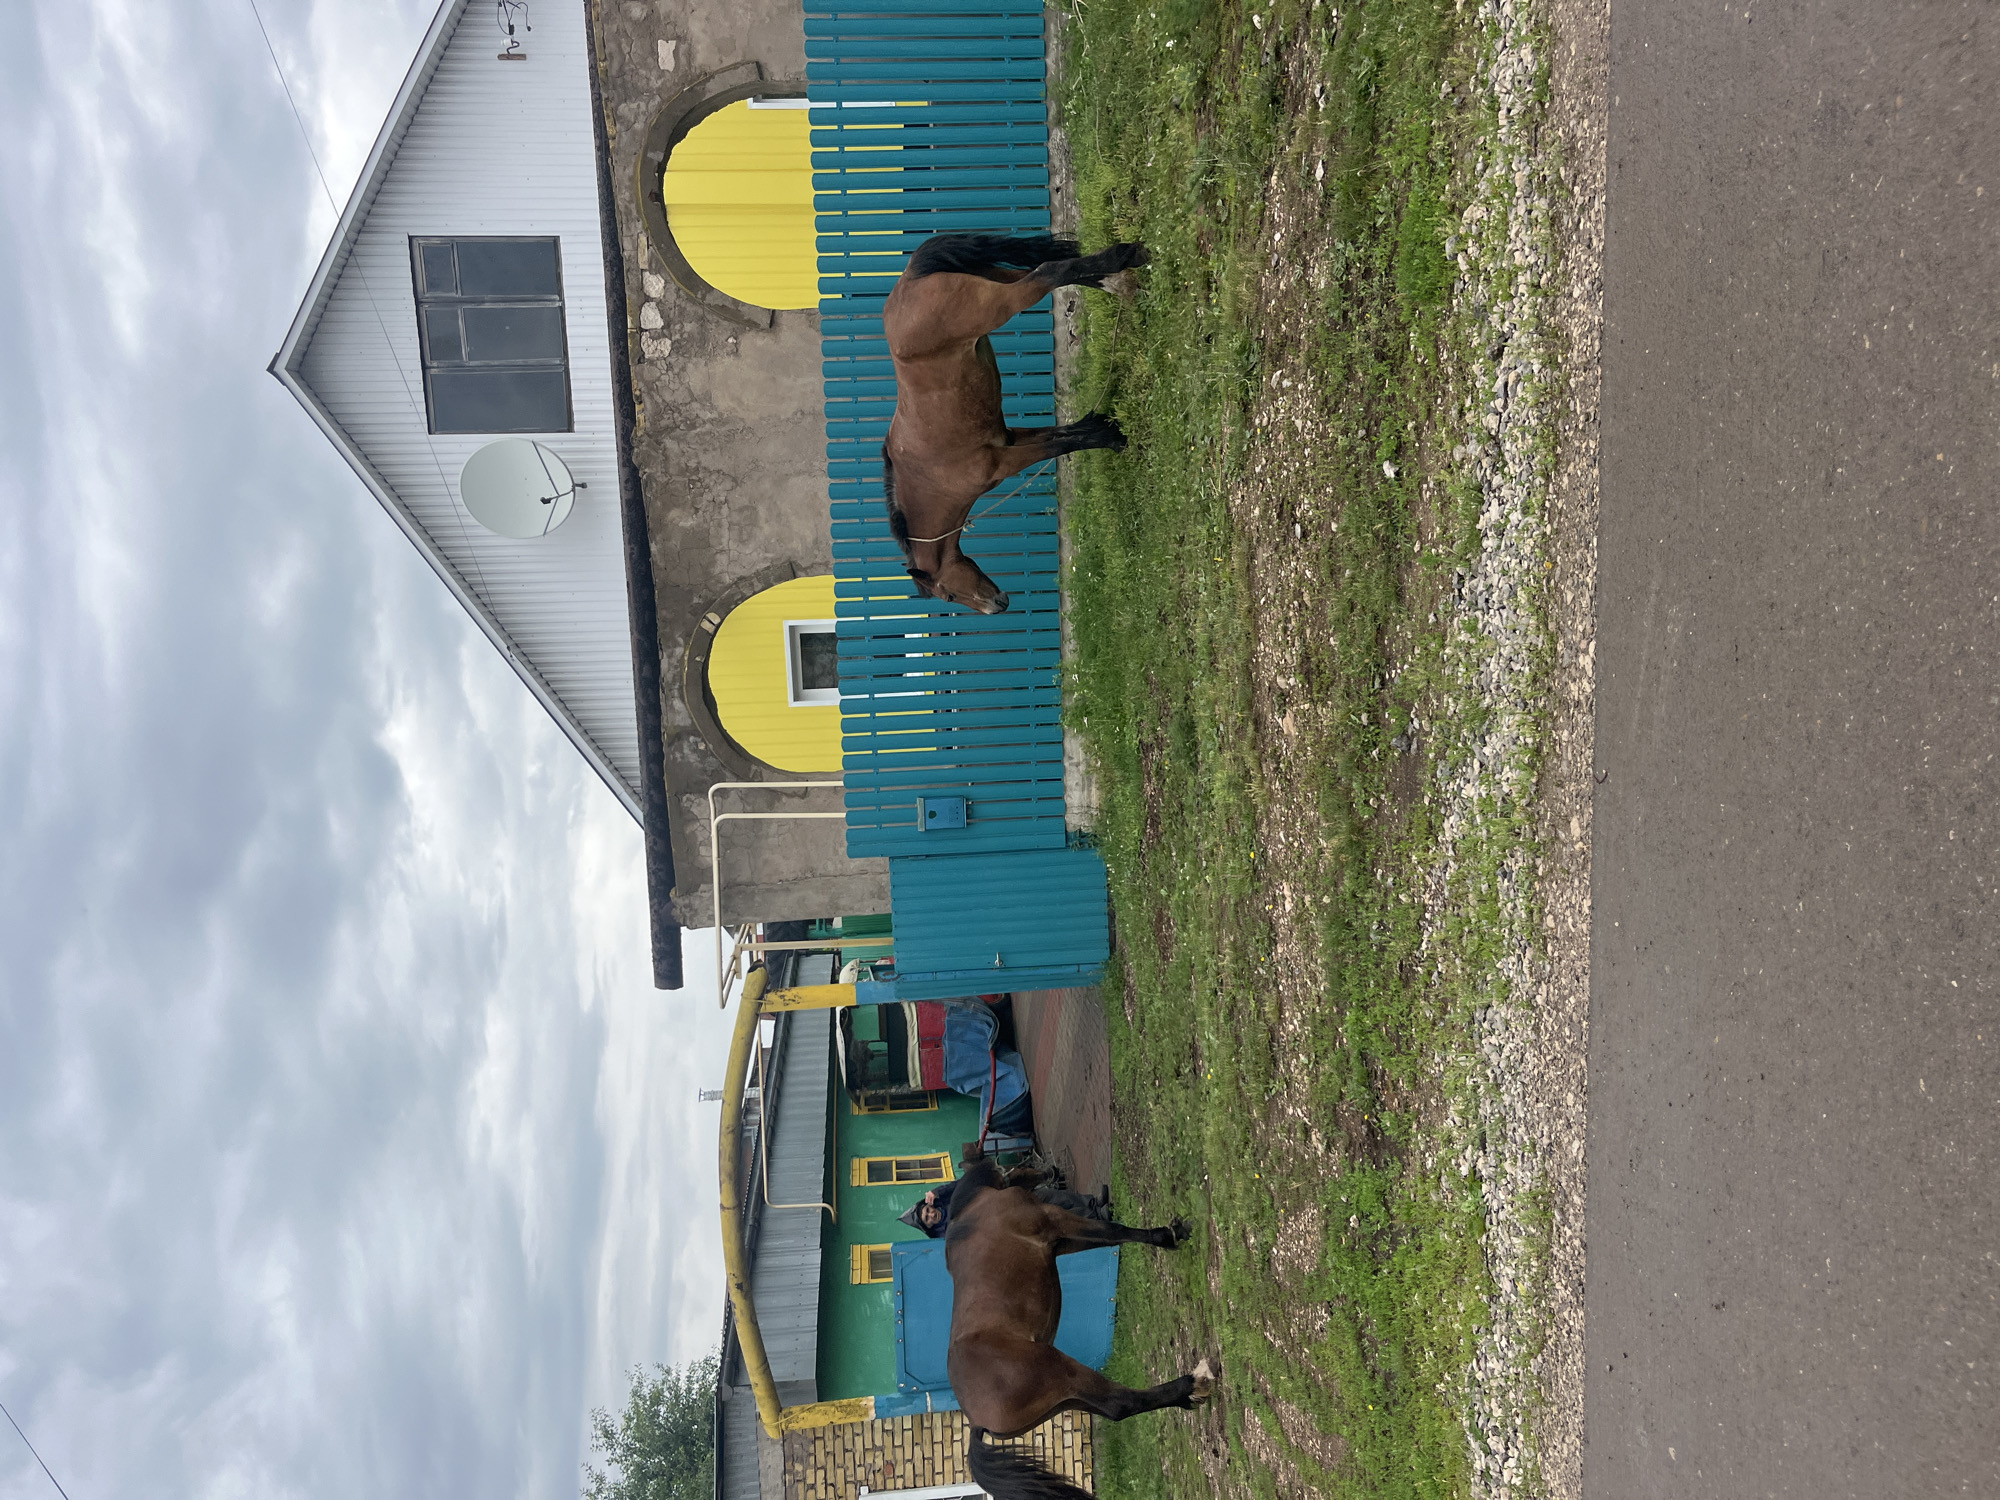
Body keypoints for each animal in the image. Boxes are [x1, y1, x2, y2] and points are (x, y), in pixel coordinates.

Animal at [882, 234, 1149, 613]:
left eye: (948, 595)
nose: (998, 605)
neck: (932, 478)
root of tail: (908, 278)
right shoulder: (1009, 439)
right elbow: (1065, 434)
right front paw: (1105, 427)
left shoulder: (1004, 461)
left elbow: (1060, 444)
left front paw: (1114, 438)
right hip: (998, 281)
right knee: (1057, 272)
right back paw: (1121, 279)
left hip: (1001, 301)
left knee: (1048, 273)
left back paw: (1123, 260)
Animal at [943, 1156, 1214, 1500]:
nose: (1052, 1170)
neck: (974, 1208)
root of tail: (975, 1419)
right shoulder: (1056, 1220)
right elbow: (1114, 1230)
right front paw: (1169, 1234)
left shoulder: (1063, 1242)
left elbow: (1113, 1236)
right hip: (1066, 1372)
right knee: (1122, 1403)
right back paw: (1193, 1384)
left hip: (1066, 1398)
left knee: (1114, 1409)